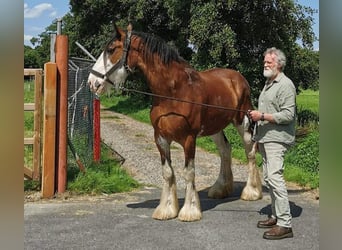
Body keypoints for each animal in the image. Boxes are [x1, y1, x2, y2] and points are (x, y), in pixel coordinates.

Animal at [88, 23, 262, 222]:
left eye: (111, 49)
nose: (92, 82)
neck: (173, 92)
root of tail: (239, 78)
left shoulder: (189, 139)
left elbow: (188, 172)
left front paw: (190, 210)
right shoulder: (160, 138)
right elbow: (167, 172)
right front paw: (167, 209)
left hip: (243, 121)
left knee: (250, 151)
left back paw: (251, 192)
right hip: (215, 127)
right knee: (225, 149)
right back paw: (220, 189)